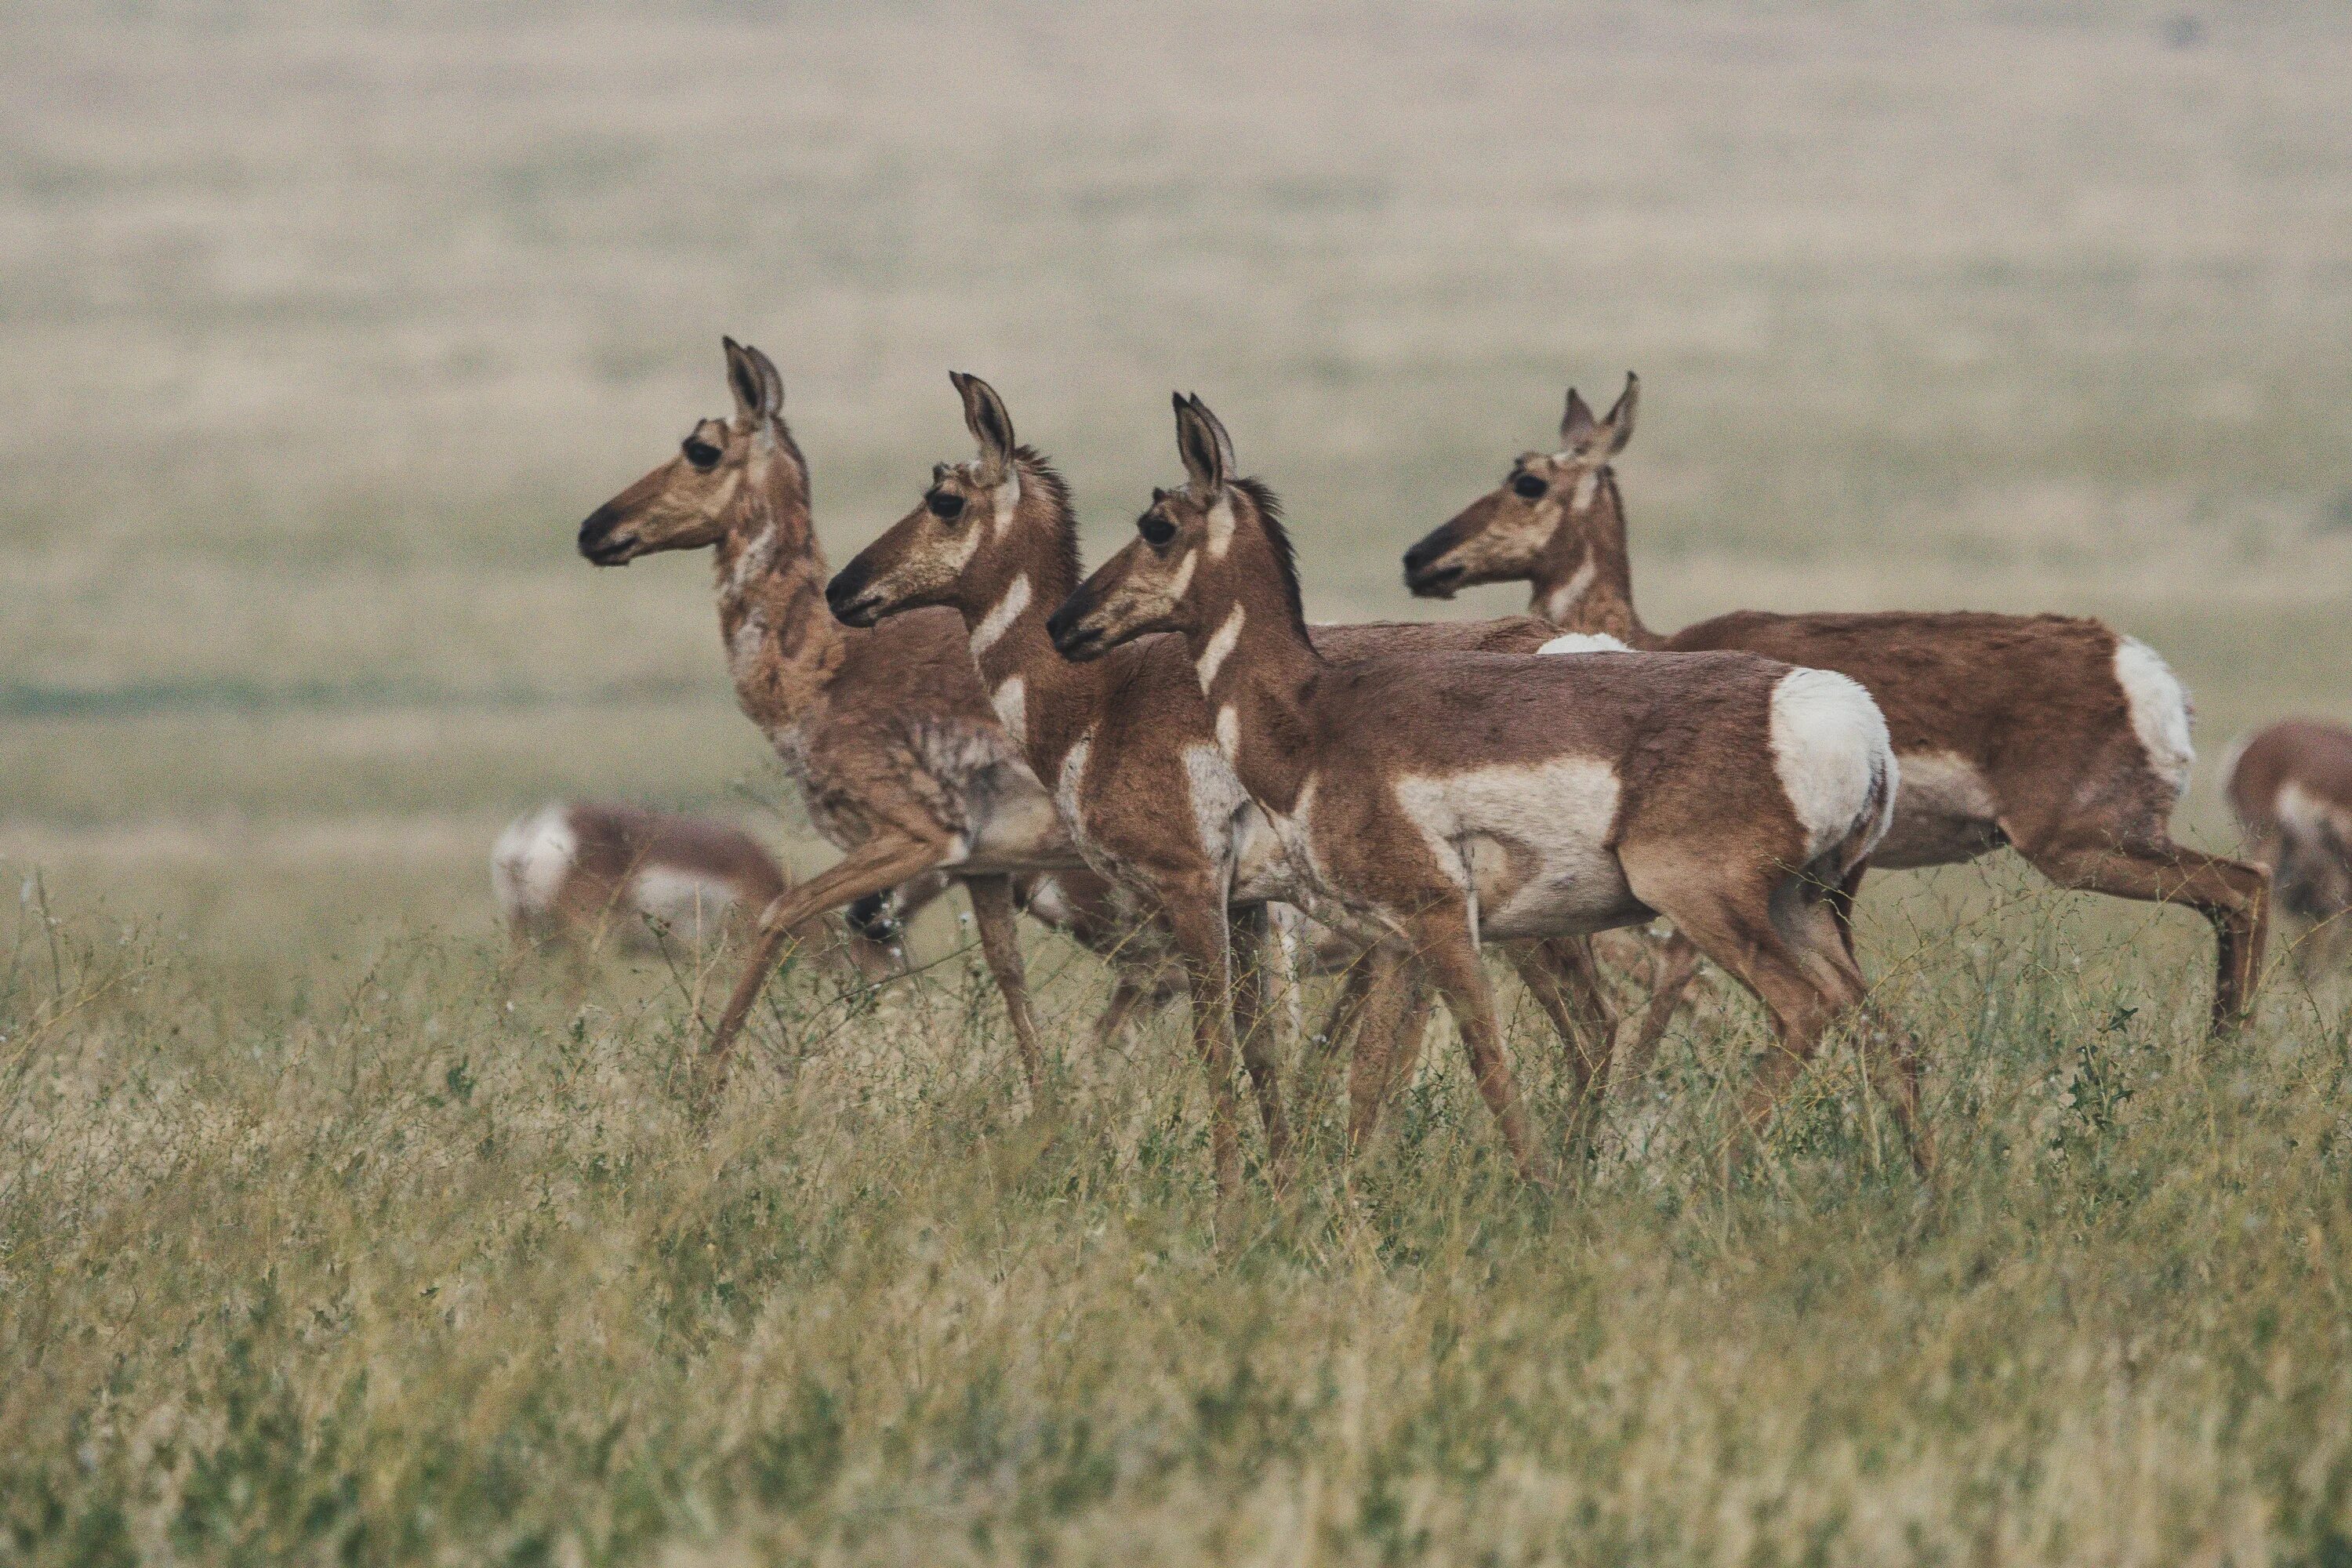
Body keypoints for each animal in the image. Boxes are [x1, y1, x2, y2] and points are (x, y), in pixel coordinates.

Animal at [569, 338, 1091, 1100]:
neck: (827, 662)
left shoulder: (917, 839)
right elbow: (1010, 977)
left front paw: (702, 1090)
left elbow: (781, 913)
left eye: (701, 448)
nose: (594, 528)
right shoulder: (985, 870)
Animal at [828, 376, 1618, 1189]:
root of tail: (1570, 644)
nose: (840, 588)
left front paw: (1236, 1191)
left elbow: (1218, 1044)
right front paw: (1284, 1184)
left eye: (944, 499)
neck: (1098, 701)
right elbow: (1260, 1044)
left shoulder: (1192, 890)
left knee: (1583, 1029)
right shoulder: (1247, 906)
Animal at [1049, 392, 1910, 1175]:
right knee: (1884, 1038)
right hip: (1805, 910)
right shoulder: (1397, 942)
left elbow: (1489, 1068)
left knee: (1804, 1013)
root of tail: (1848, 718)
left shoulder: (1438, 922)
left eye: (1157, 526)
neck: (1313, 715)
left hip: (1705, 903)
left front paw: (1543, 1195)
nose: (1064, 622)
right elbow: (1368, 1081)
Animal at [1402, 373, 2267, 1048]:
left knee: (2243, 891)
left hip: (2080, 847)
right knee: (2236, 901)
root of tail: (2138, 667)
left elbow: (1678, 984)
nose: (1418, 559)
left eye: (1528, 480)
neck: (1655, 640)